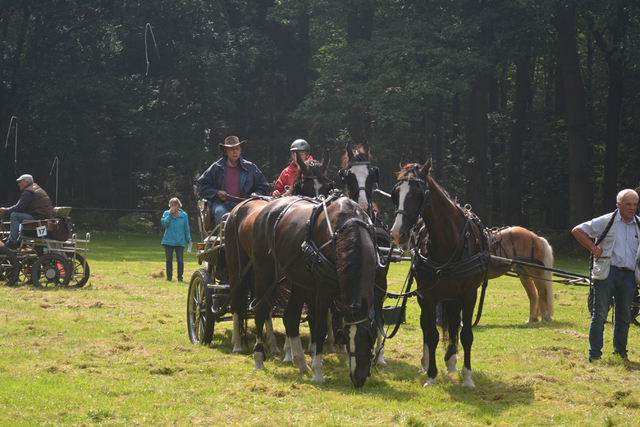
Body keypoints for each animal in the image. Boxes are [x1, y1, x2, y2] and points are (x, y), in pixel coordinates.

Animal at [225, 150, 332, 354]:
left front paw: (310, 346)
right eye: (304, 186)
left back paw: (273, 344)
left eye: (327, 185)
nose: (320, 208)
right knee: (237, 299)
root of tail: (239, 207)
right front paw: (291, 351)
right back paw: (237, 343)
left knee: (263, 301)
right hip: (237, 267)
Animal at [390, 156, 490, 388]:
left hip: (454, 297)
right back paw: (426, 363)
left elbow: (466, 334)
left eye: (417, 194)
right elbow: (432, 334)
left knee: (453, 324)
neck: (449, 242)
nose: (398, 233)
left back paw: (452, 360)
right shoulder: (427, 296)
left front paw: (467, 377)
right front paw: (432, 375)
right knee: (427, 326)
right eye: (396, 194)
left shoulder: (469, 295)